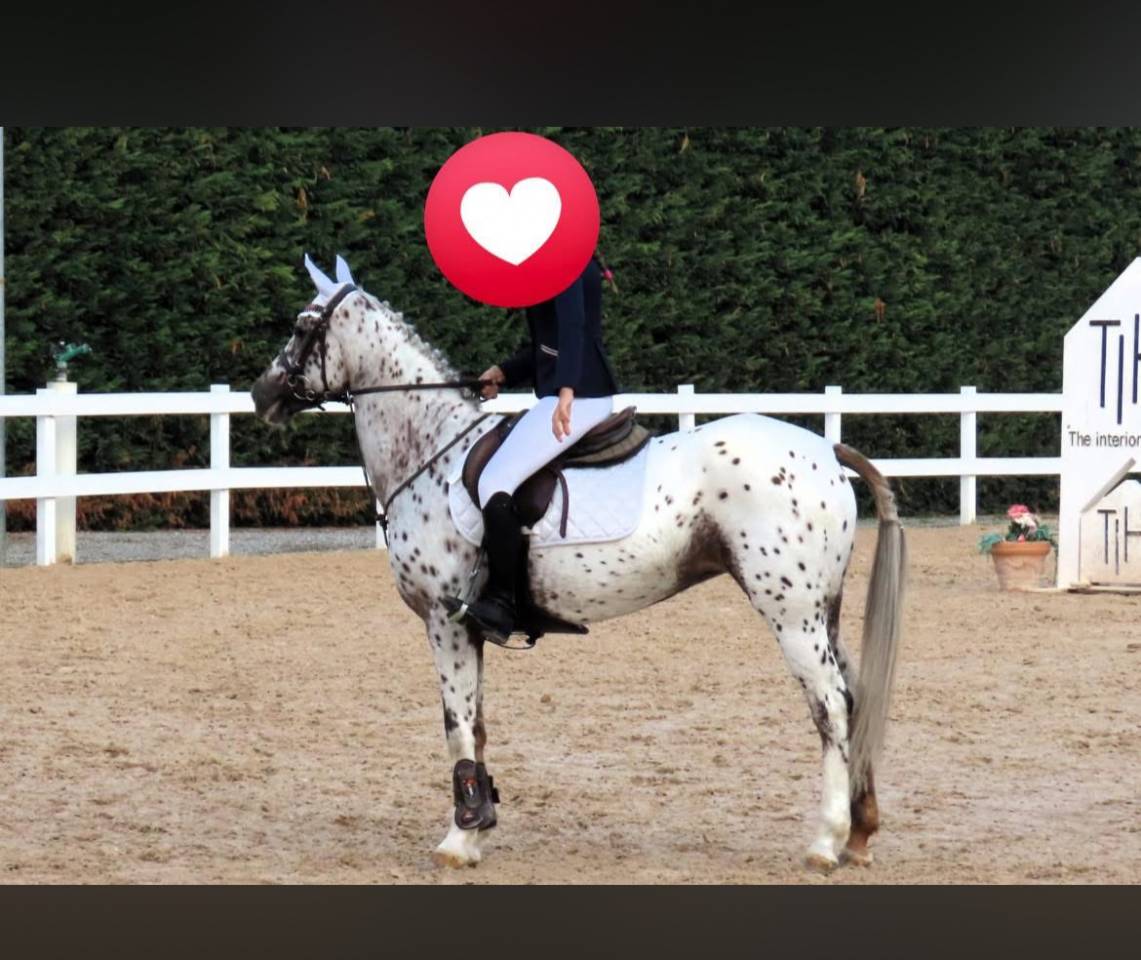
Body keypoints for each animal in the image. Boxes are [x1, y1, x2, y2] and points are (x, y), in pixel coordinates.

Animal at [251, 256, 907, 873]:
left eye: (302, 325)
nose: (262, 394)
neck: (432, 450)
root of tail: (827, 448)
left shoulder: (446, 621)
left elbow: (457, 725)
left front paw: (459, 838)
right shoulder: (468, 631)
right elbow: (478, 725)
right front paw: (481, 823)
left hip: (790, 614)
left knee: (830, 706)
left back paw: (825, 841)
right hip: (823, 613)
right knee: (855, 697)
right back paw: (859, 834)